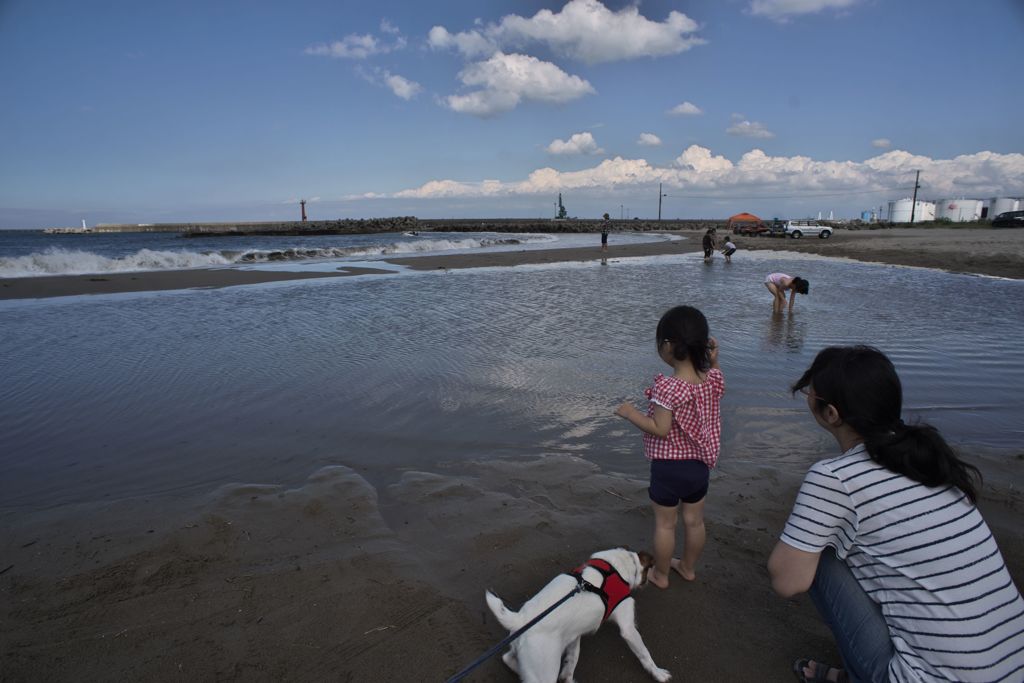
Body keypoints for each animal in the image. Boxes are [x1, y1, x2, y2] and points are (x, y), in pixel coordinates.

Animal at [487, 548, 671, 683]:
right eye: (648, 571)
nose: (647, 583)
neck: (616, 567)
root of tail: (521, 619)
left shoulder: (574, 636)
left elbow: (572, 660)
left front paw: (567, 676)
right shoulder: (628, 628)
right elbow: (644, 653)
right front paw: (658, 672)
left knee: (507, 659)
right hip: (544, 672)